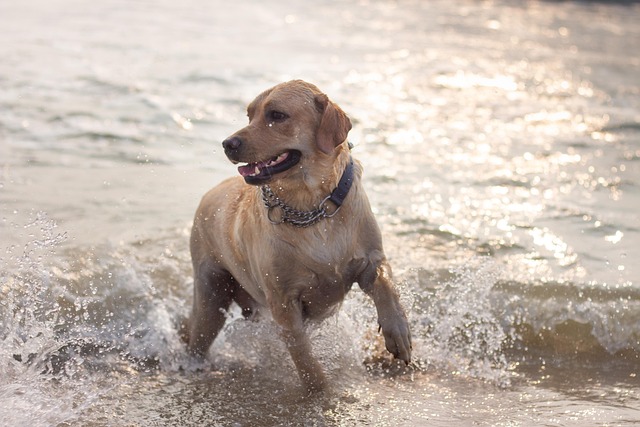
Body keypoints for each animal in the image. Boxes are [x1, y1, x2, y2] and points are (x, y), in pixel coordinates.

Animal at [185, 80, 412, 394]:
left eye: (277, 115)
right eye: (249, 115)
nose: (228, 144)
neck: (313, 206)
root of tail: (209, 193)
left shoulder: (369, 260)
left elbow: (385, 285)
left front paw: (398, 332)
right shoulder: (283, 300)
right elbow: (304, 356)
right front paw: (321, 392)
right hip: (211, 292)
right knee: (198, 339)